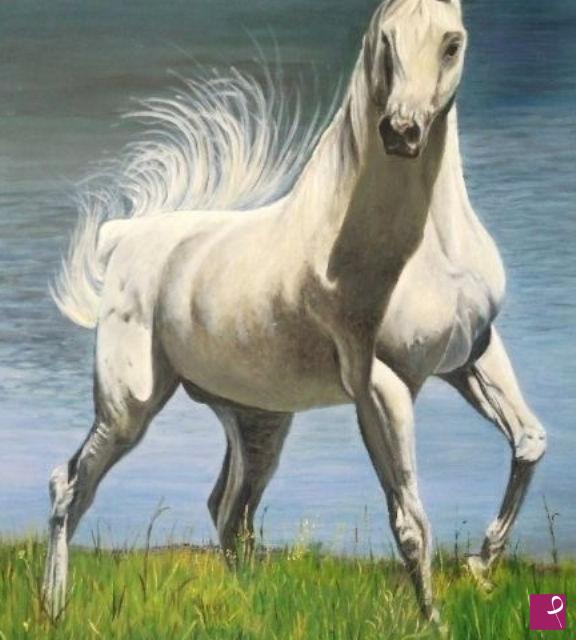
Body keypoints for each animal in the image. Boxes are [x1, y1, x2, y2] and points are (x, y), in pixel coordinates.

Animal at [43, 0, 547, 624]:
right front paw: (434, 622)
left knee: (229, 512)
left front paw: (481, 563)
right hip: (126, 408)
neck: (422, 247)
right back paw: (53, 607)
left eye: (452, 43)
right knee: (71, 485)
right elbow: (410, 520)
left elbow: (529, 442)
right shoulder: (381, 386)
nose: (401, 132)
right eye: (386, 42)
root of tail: (123, 238)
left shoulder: (473, 355)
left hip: (258, 422)